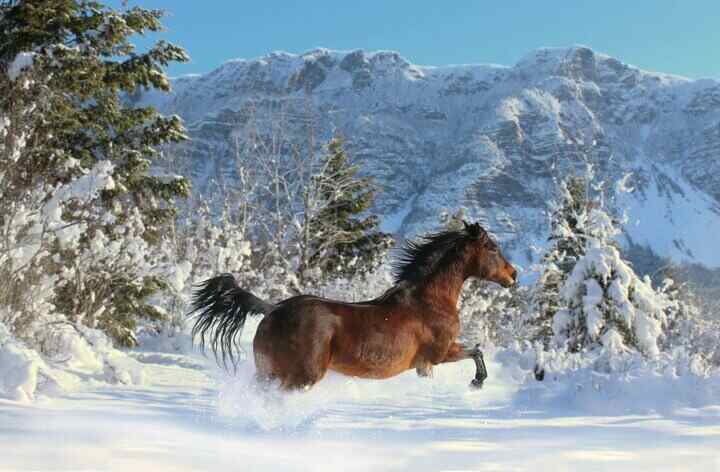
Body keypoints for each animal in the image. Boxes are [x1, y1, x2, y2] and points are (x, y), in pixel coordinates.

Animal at [189, 221, 517, 391]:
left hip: (268, 371)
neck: (429, 301)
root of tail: (273, 311)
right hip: (300, 377)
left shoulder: (427, 363)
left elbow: (476, 351)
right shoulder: (437, 355)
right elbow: (476, 351)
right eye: (492, 247)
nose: (513, 274)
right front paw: (477, 382)